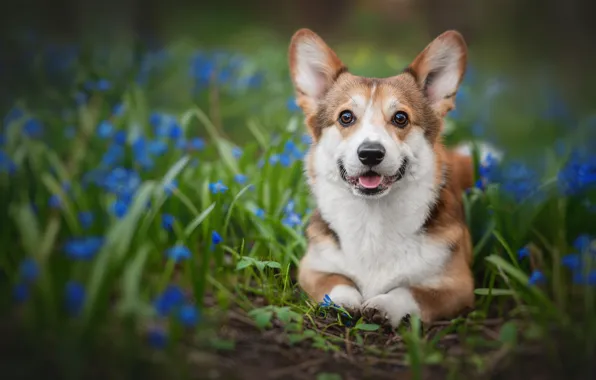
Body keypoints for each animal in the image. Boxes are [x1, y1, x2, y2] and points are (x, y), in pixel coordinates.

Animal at [288, 29, 474, 326]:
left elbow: (410, 291)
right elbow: (336, 282)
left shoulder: (458, 286)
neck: (372, 218)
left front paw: (384, 304)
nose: (371, 153)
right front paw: (343, 300)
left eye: (400, 118)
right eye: (346, 117)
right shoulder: (312, 268)